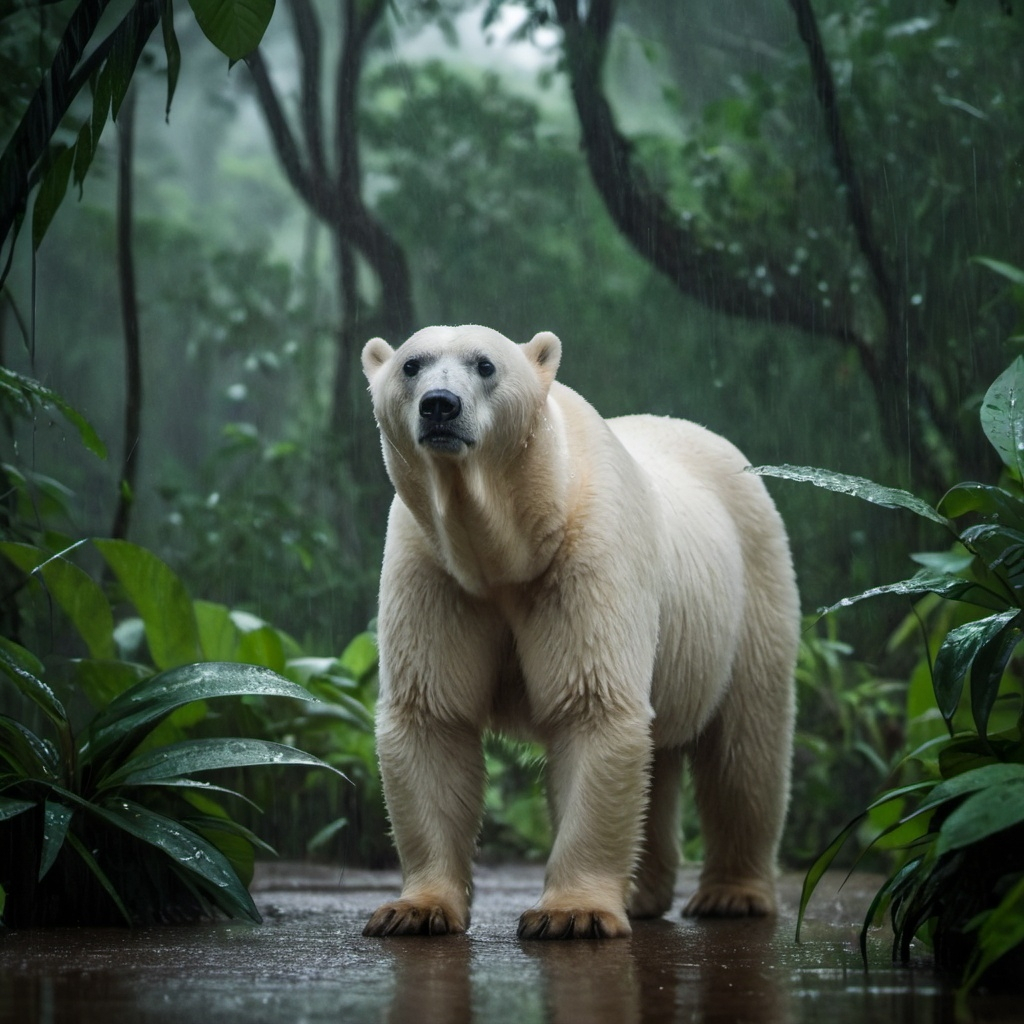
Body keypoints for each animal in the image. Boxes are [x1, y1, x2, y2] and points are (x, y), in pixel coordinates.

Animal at [359, 324, 799, 940]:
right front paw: (414, 909)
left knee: (744, 745)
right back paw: (642, 891)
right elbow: (434, 715)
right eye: (411, 364)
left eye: (485, 365)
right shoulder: (434, 568)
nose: (440, 405)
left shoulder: (586, 553)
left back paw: (732, 894)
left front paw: (573, 914)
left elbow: (592, 705)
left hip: (752, 588)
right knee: (662, 753)